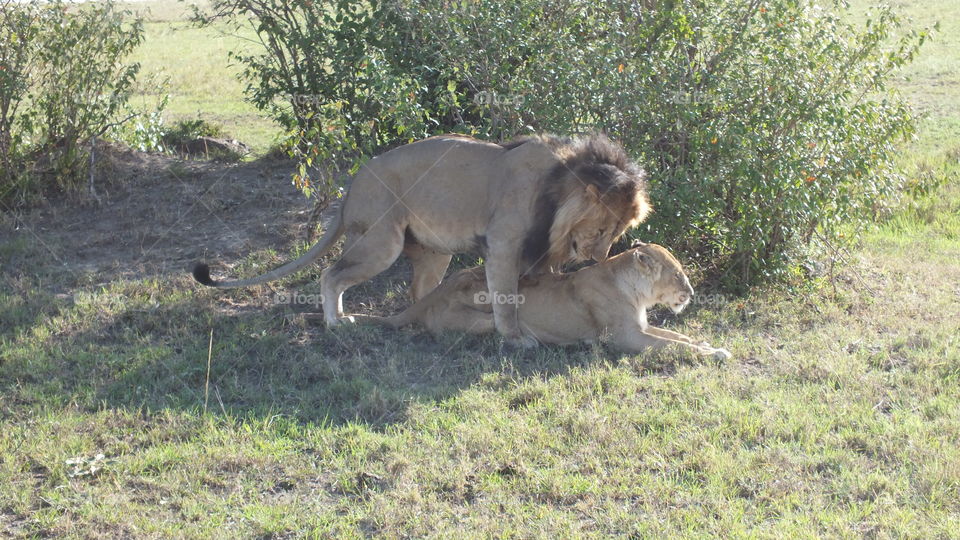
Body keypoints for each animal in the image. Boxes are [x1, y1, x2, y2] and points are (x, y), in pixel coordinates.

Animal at [192, 133, 650, 347]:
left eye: (617, 233)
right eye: (603, 230)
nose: (599, 257)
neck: (557, 190)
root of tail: (353, 183)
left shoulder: (538, 258)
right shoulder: (503, 246)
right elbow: (506, 299)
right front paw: (516, 338)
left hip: (432, 253)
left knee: (418, 293)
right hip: (382, 242)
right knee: (330, 274)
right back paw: (337, 323)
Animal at [356, 241, 732, 360]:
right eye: (678, 274)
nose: (692, 293)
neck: (636, 291)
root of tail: (439, 289)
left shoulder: (640, 325)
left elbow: (676, 336)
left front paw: (707, 344)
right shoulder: (623, 337)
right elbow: (672, 346)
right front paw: (713, 354)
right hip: (488, 310)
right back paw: (531, 342)